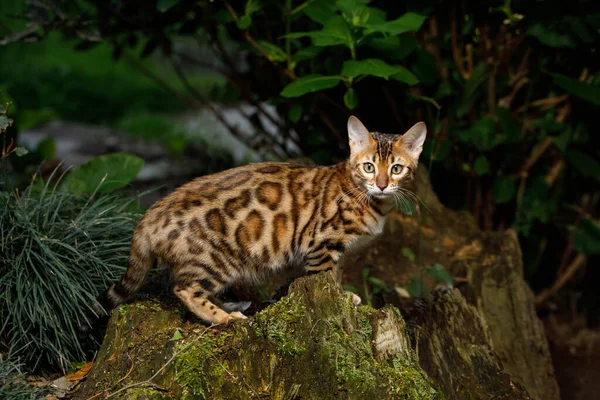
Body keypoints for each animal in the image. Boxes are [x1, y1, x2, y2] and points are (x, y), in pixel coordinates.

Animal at [98, 115, 424, 324]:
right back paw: (224, 318)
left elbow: (336, 275)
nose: (381, 184)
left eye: (396, 169)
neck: (372, 201)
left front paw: (345, 295)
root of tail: (150, 214)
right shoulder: (321, 244)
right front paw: (342, 297)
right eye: (369, 166)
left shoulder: (338, 252)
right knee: (184, 288)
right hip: (216, 260)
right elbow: (324, 277)